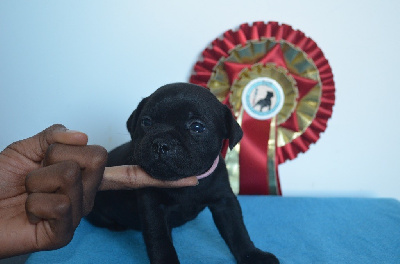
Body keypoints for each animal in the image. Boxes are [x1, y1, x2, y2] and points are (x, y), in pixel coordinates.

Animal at [87, 83, 278, 264]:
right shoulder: (153, 208)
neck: (184, 181)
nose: (161, 144)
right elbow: (160, 242)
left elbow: (237, 230)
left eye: (197, 127)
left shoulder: (224, 200)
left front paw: (252, 254)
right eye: (146, 122)